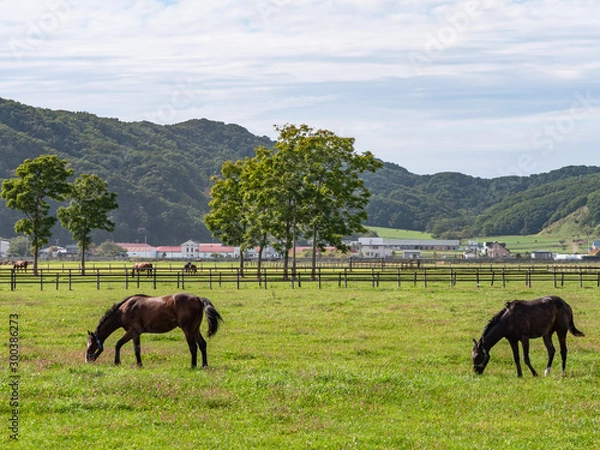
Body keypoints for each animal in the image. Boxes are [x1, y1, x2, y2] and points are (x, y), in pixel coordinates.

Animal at [85, 292, 223, 370]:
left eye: (90, 345)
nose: (87, 360)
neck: (124, 310)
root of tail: (198, 299)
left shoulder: (132, 331)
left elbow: (118, 344)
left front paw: (117, 362)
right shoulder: (136, 334)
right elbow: (137, 349)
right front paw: (139, 364)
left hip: (188, 330)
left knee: (193, 347)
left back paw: (193, 366)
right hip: (195, 329)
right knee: (202, 344)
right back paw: (204, 365)